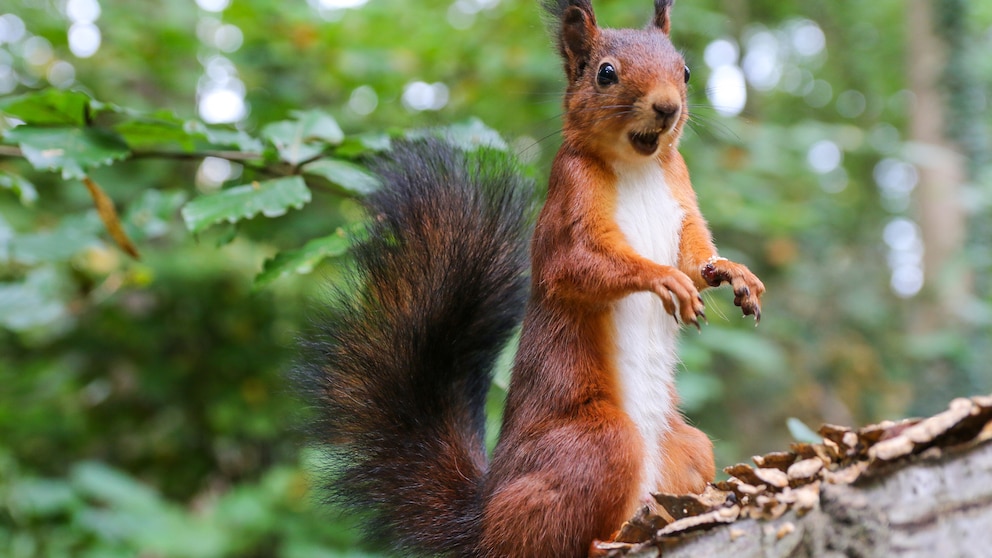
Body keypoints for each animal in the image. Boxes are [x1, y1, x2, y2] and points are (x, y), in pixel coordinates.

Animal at [298, 1, 764, 558]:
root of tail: (481, 522)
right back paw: (608, 541)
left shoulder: (682, 197)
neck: (639, 166)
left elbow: (698, 256)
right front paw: (664, 280)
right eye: (605, 73)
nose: (668, 107)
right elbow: (580, 266)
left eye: (686, 71)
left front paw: (736, 274)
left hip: (689, 447)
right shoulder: (568, 204)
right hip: (595, 447)